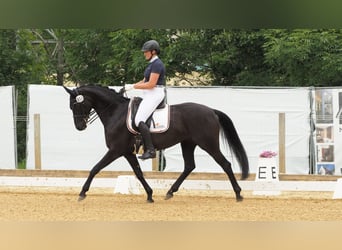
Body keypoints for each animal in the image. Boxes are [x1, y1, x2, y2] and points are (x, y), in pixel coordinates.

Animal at [64, 85, 250, 202]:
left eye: (75, 104)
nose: (79, 127)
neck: (115, 112)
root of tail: (211, 110)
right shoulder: (127, 152)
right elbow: (138, 173)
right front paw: (149, 195)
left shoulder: (116, 150)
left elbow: (95, 168)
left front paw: (82, 193)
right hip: (188, 143)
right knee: (189, 166)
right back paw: (170, 192)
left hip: (208, 144)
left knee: (225, 164)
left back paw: (238, 194)